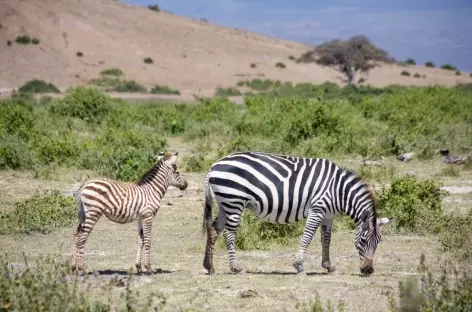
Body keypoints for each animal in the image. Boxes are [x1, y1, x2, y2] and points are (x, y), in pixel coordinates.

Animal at [203, 151, 390, 276]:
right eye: (363, 240)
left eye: (379, 242)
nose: (368, 270)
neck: (338, 191)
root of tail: (214, 165)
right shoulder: (317, 209)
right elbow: (307, 237)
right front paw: (299, 266)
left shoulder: (328, 215)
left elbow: (326, 240)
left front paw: (328, 266)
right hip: (234, 201)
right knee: (229, 233)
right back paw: (236, 267)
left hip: (225, 204)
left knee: (213, 230)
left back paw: (209, 267)